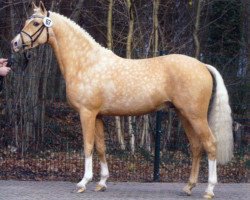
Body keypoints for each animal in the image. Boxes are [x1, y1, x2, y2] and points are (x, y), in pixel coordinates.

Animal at [11, 1, 234, 198]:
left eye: (36, 23)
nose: (15, 44)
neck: (86, 63)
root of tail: (202, 65)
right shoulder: (98, 116)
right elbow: (101, 147)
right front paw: (101, 183)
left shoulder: (86, 113)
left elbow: (88, 146)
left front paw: (83, 183)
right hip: (184, 115)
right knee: (196, 147)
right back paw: (188, 187)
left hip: (196, 116)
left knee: (210, 144)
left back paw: (209, 190)